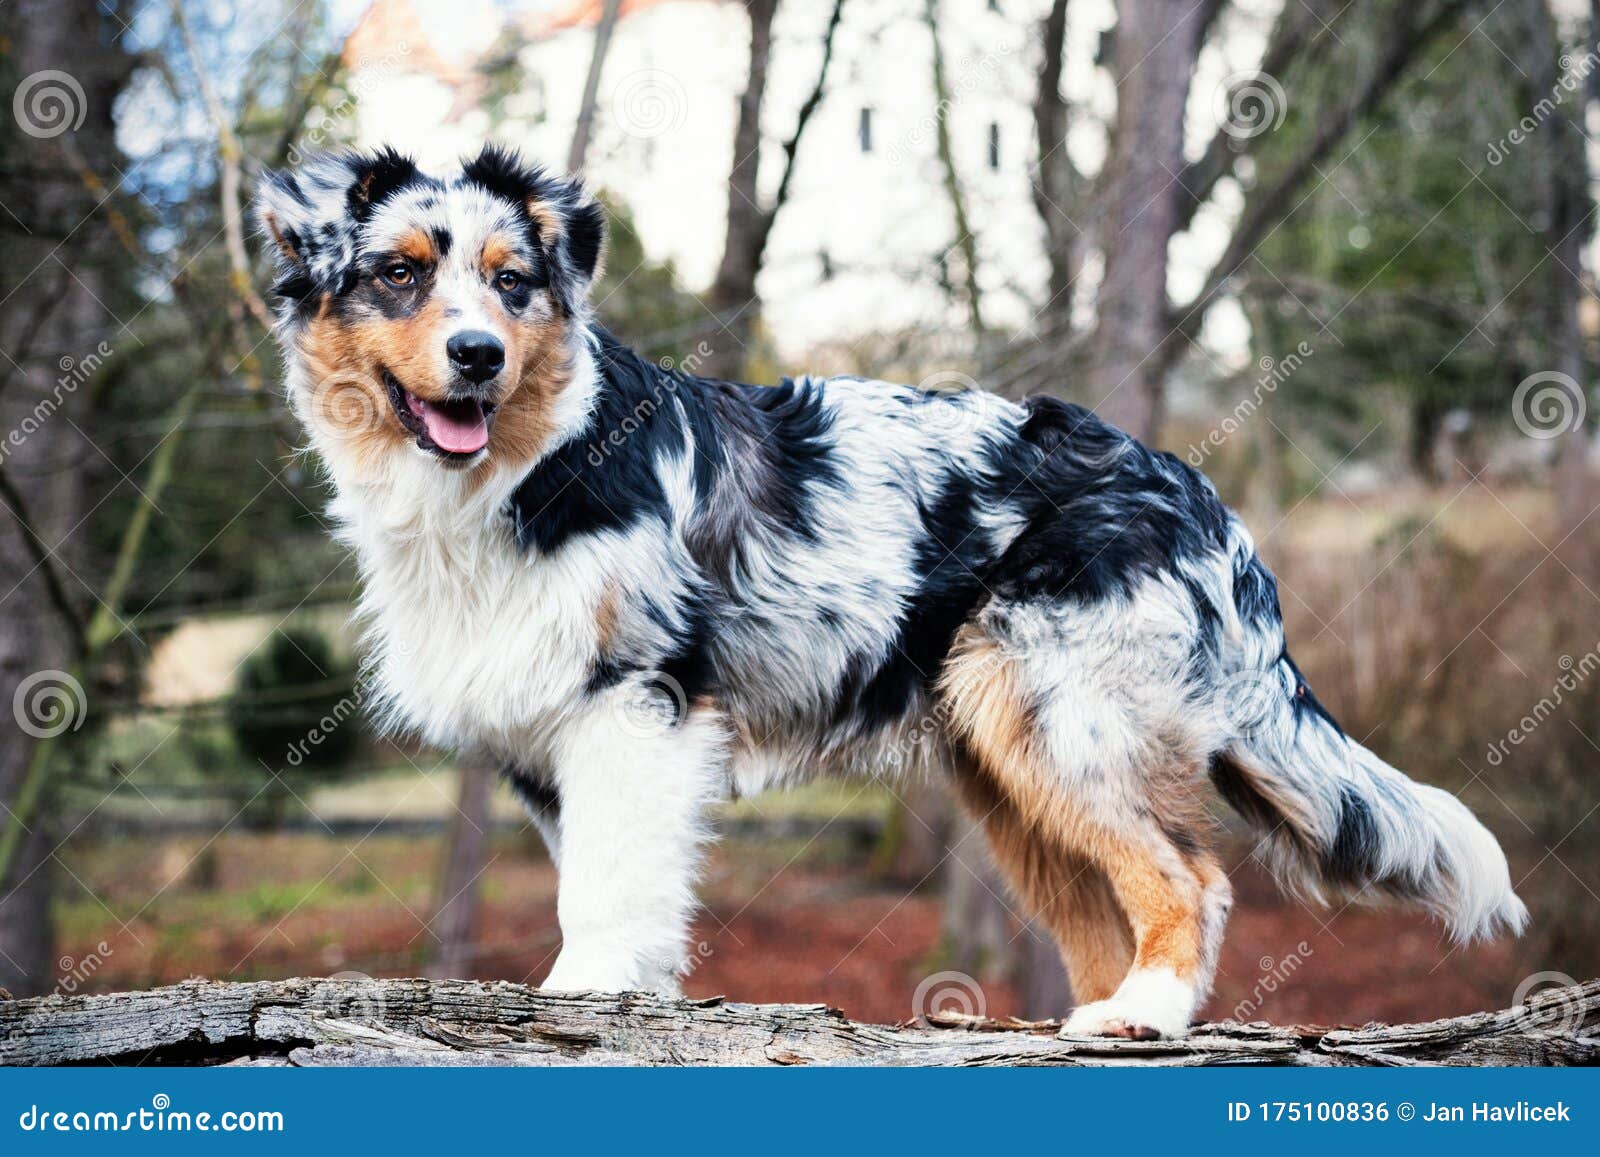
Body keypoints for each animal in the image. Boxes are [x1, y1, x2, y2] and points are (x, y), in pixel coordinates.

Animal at [259, 144, 1523, 1043]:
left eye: (512, 283)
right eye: (399, 272)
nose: (476, 354)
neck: (527, 469)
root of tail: (1192, 488)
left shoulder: (636, 698)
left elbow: (607, 887)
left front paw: (582, 994)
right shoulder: (552, 733)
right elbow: (621, 879)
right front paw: (633, 998)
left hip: (1063, 720)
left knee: (1191, 878)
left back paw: (1147, 1012)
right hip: (1006, 768)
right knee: (1104, 910)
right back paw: (1084, 1022)